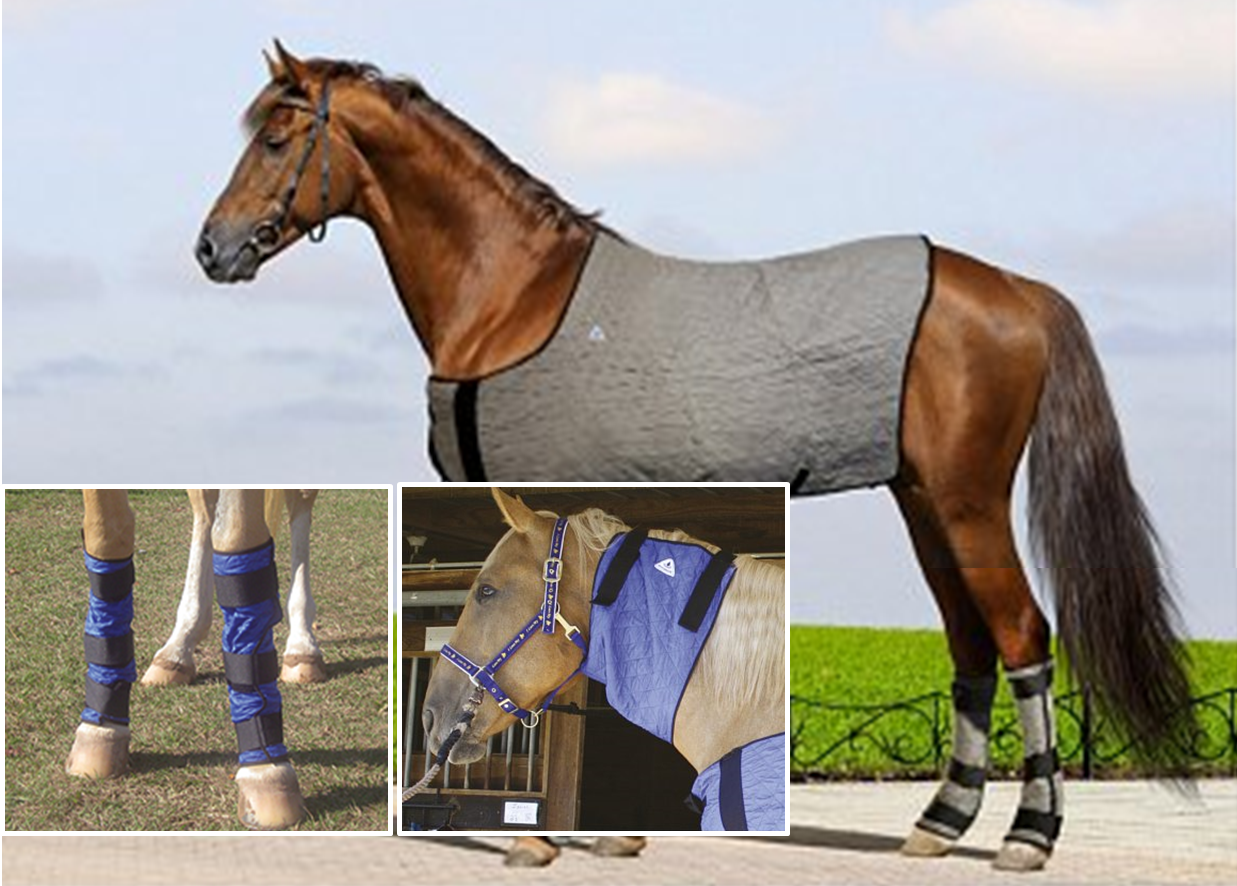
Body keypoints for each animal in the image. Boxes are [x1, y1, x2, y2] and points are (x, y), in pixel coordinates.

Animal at [65, 488, 322, 829]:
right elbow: (106, 532)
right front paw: (99, 728)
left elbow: (237, 534)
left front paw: (265, 772)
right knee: (205, 509)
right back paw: (178, 646)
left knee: (299, 500)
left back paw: (302, 644)